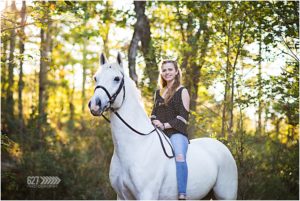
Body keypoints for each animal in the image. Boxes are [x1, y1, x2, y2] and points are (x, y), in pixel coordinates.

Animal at [88, 52, 238, 200]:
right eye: (96, 78)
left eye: (116, 78)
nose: (95, 105)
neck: (136, 147)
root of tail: (223, 147)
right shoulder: (122, 196)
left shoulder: (147, 194)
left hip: (226, 195)